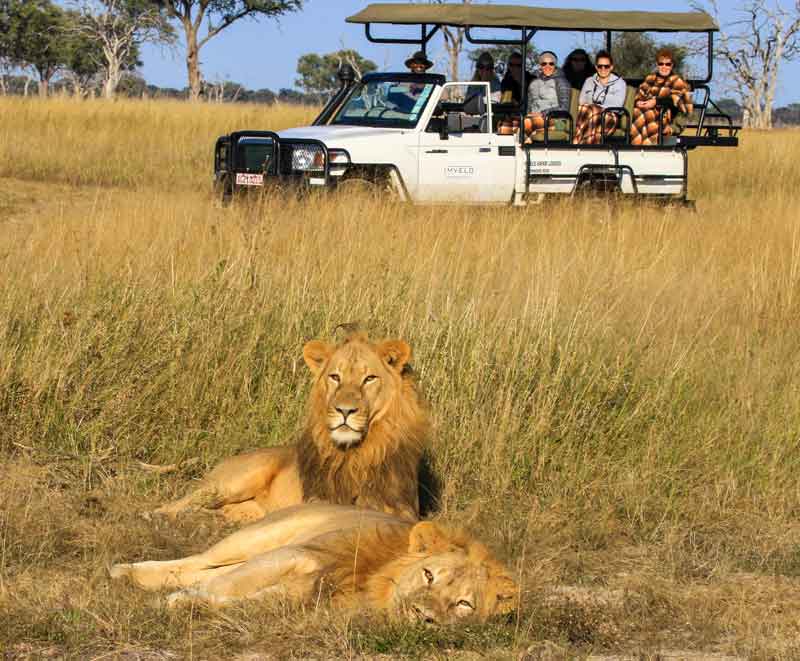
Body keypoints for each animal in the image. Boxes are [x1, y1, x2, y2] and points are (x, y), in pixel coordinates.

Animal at [109, 502, 520, 620]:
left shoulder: (309, 595)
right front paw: (178, 602)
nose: (424, 617)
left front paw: (192, 604)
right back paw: (124, 573)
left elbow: (249, 600)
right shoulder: (300, 555)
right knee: (199, 561)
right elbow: (226, 584)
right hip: (256, 538)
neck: (373, 579)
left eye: (463, 603)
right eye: (429, 575)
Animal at [156, 332, 432, 524]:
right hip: (236, 480)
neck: (357, 453)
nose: (344, 410)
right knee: (173, 506)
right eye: (335, 377)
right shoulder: (318, 500)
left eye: (369, 378)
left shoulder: (401, 508)